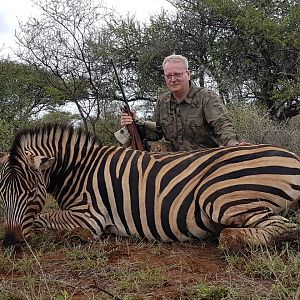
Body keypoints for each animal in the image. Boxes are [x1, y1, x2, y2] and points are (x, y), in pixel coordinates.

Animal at [0, 122, 298, 251]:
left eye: (31, 193)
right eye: (0, 196)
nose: (11, 241)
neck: (78, 168)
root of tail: (293, 156)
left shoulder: (89, 216)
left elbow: (41, 219)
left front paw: (73, 236)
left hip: (218, 195)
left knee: (284, 228)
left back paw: (229, 236)